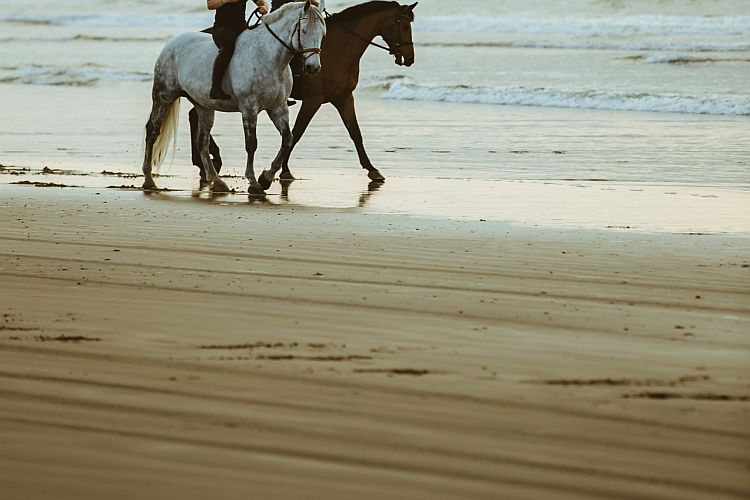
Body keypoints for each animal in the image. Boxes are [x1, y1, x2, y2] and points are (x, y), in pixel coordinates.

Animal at [144, 0, 326, 194]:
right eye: (304, 30)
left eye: (323, 33)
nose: (313, 67)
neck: (268, 56)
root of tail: (171, 43)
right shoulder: (249, 107)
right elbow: (251, 143)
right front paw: (254, 182)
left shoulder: (278, 107)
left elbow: (287, 140)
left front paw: (266, 178)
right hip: (164, 96)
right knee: (152, 131)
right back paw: (148, 180)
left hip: (204, 106)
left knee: (202, 141)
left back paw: (217, 181)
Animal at [189, 0, 418, 188]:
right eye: (405, 26)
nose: (409, 58)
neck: (339, 49)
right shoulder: (313, 100)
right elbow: (297, 133)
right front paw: (281, 171)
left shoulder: (343, 98)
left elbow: (355, 133)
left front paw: (372, 170)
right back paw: (208, 162)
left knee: (194, 116)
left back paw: (205, 162)